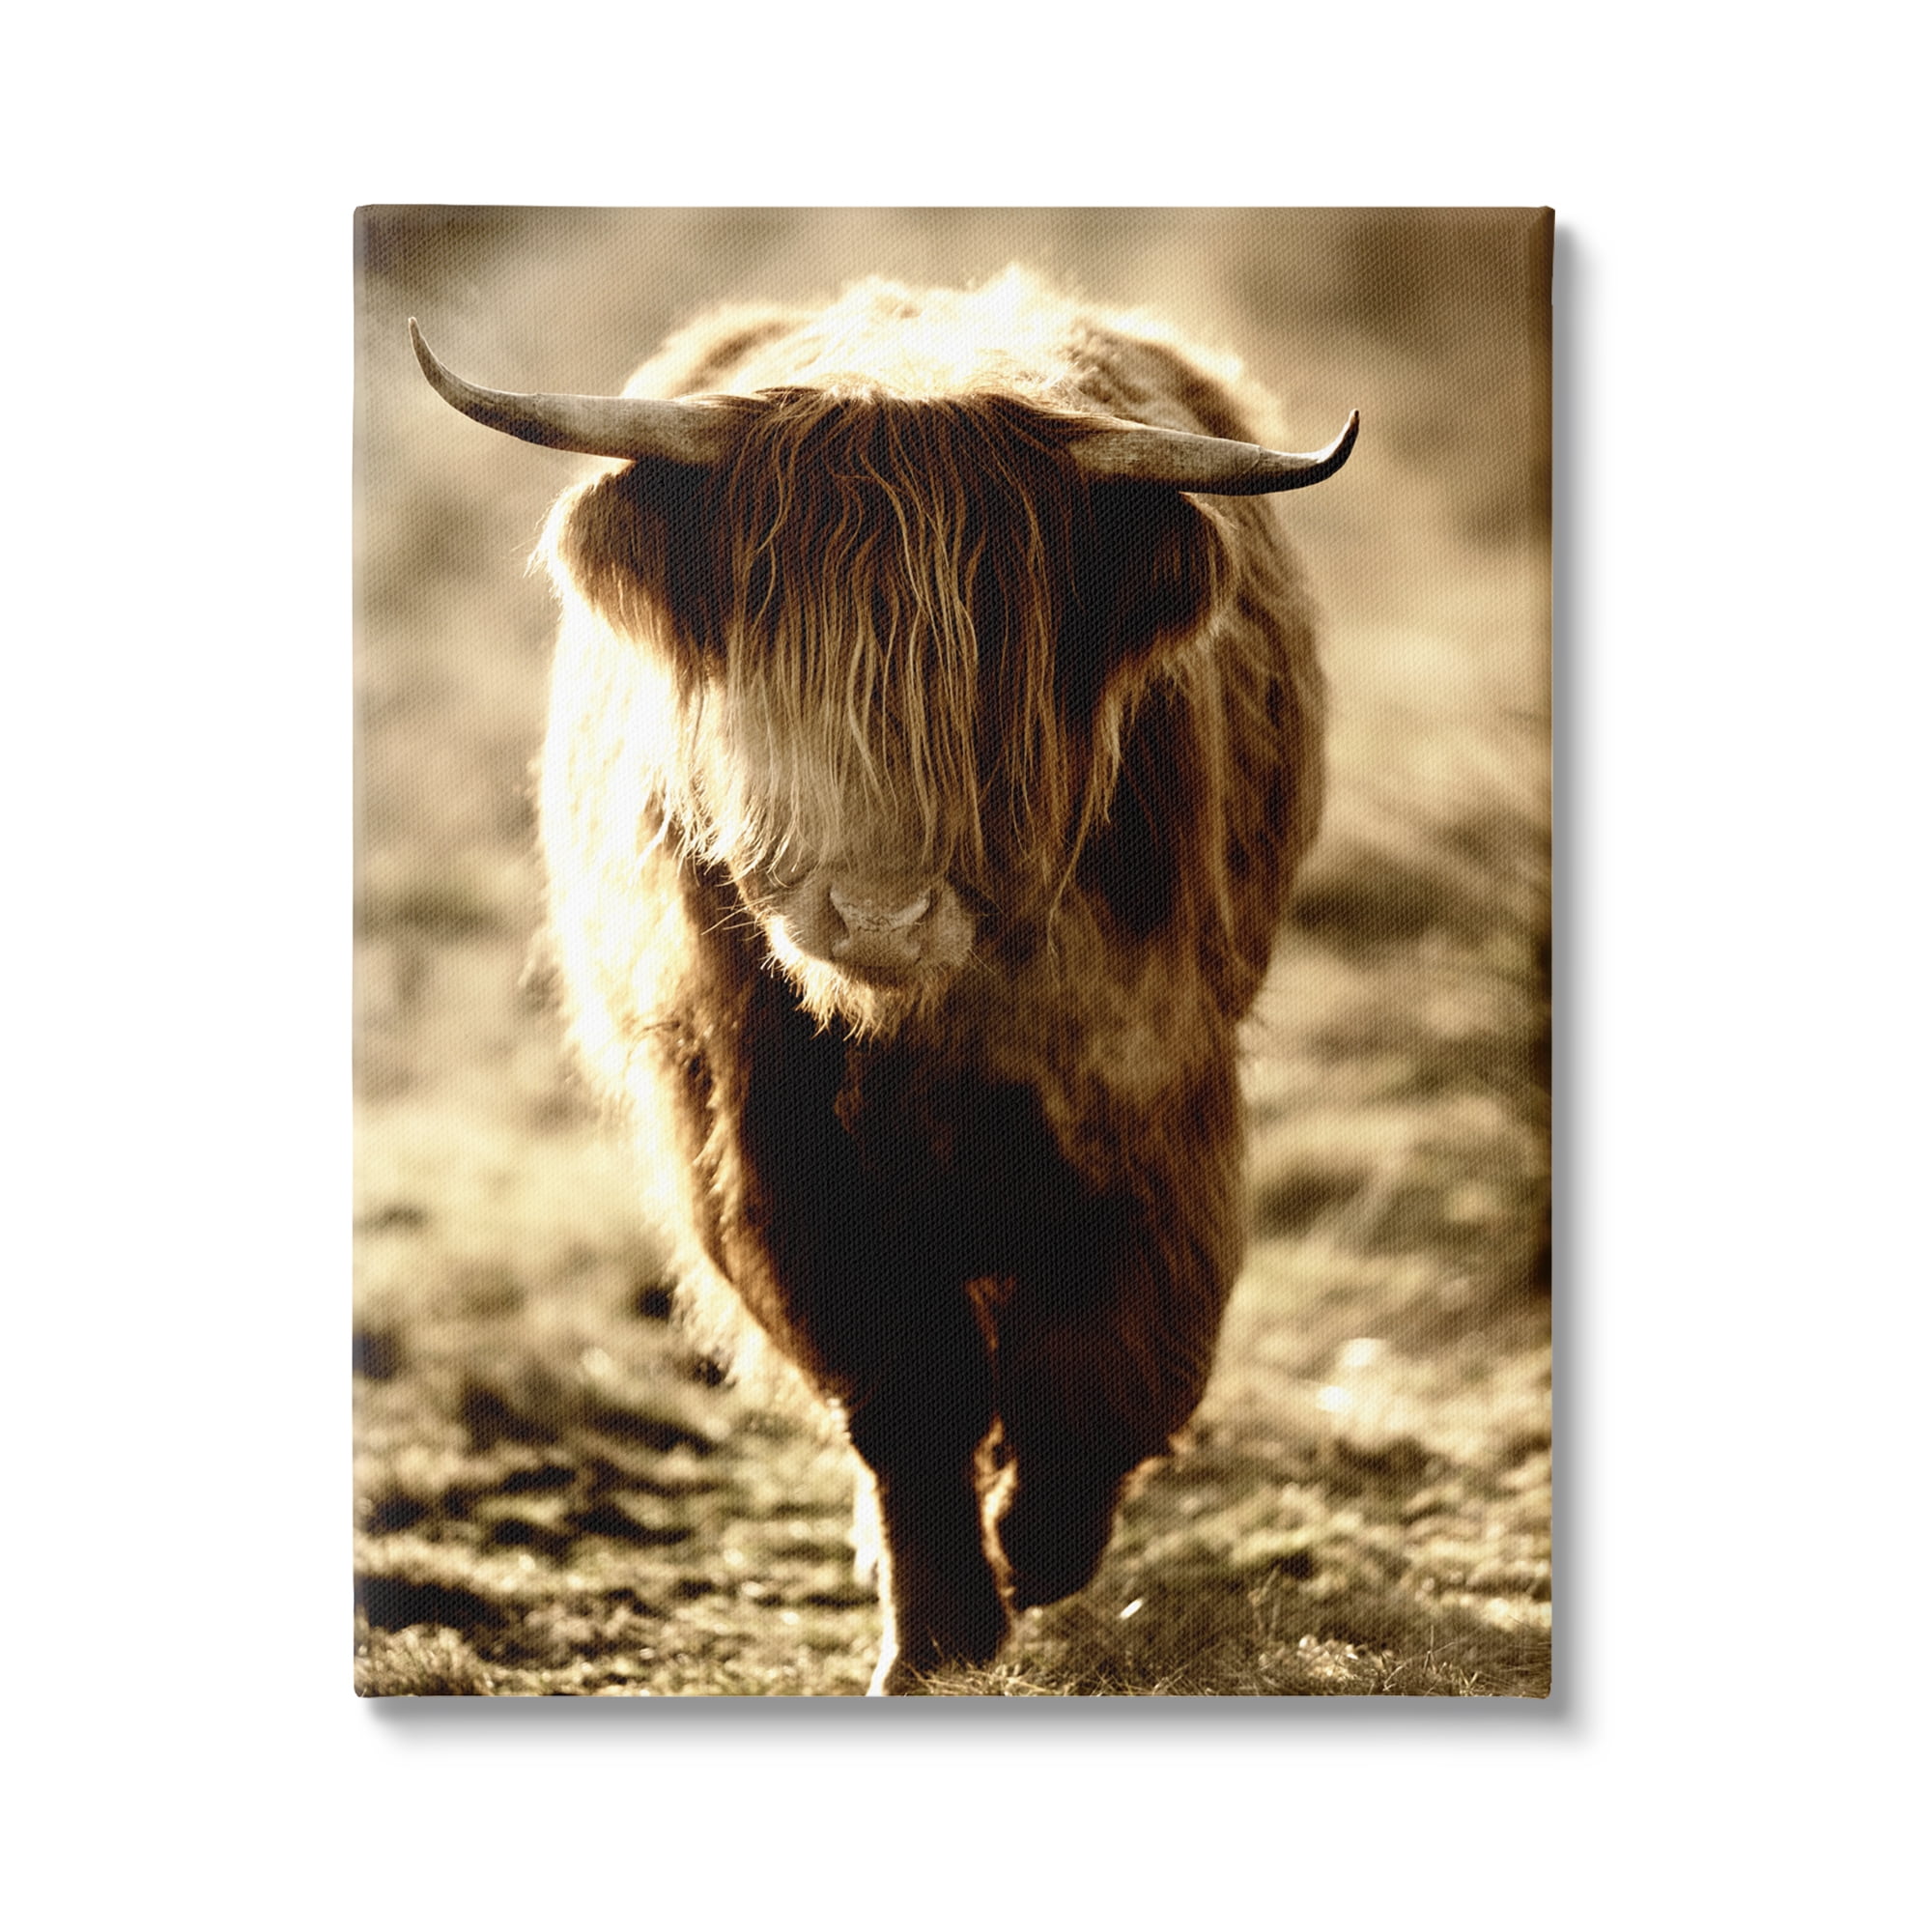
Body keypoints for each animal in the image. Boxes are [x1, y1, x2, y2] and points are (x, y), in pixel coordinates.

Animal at [410, 271, 1356, 1693]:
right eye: (776, 658)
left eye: (994, 663)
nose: (877, 908)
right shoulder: (769, 1143)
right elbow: (905, 1389)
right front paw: (939, 1637)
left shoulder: (1150, 1094)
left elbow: (1109, 1355)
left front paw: (1044, 1545)